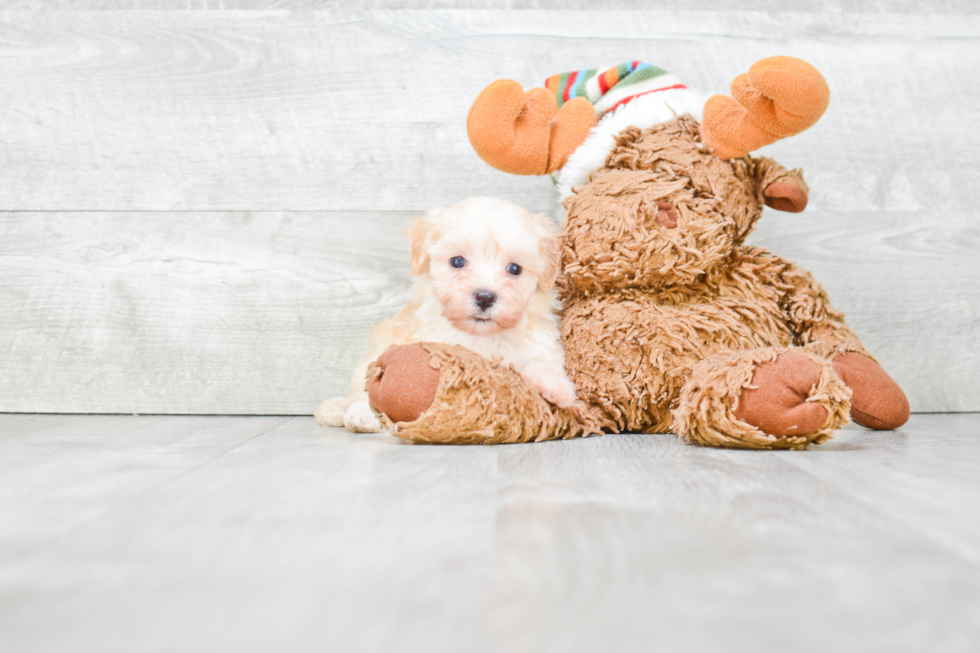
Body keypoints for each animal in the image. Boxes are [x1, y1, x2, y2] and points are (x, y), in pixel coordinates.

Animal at [314, 196, 580, 436]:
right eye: (457, 262)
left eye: (515, 269)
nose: (485, 297)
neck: (483, 335)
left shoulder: (539, 342)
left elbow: (542, 362)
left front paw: (557, 387)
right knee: (361, 390)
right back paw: (359, 415)